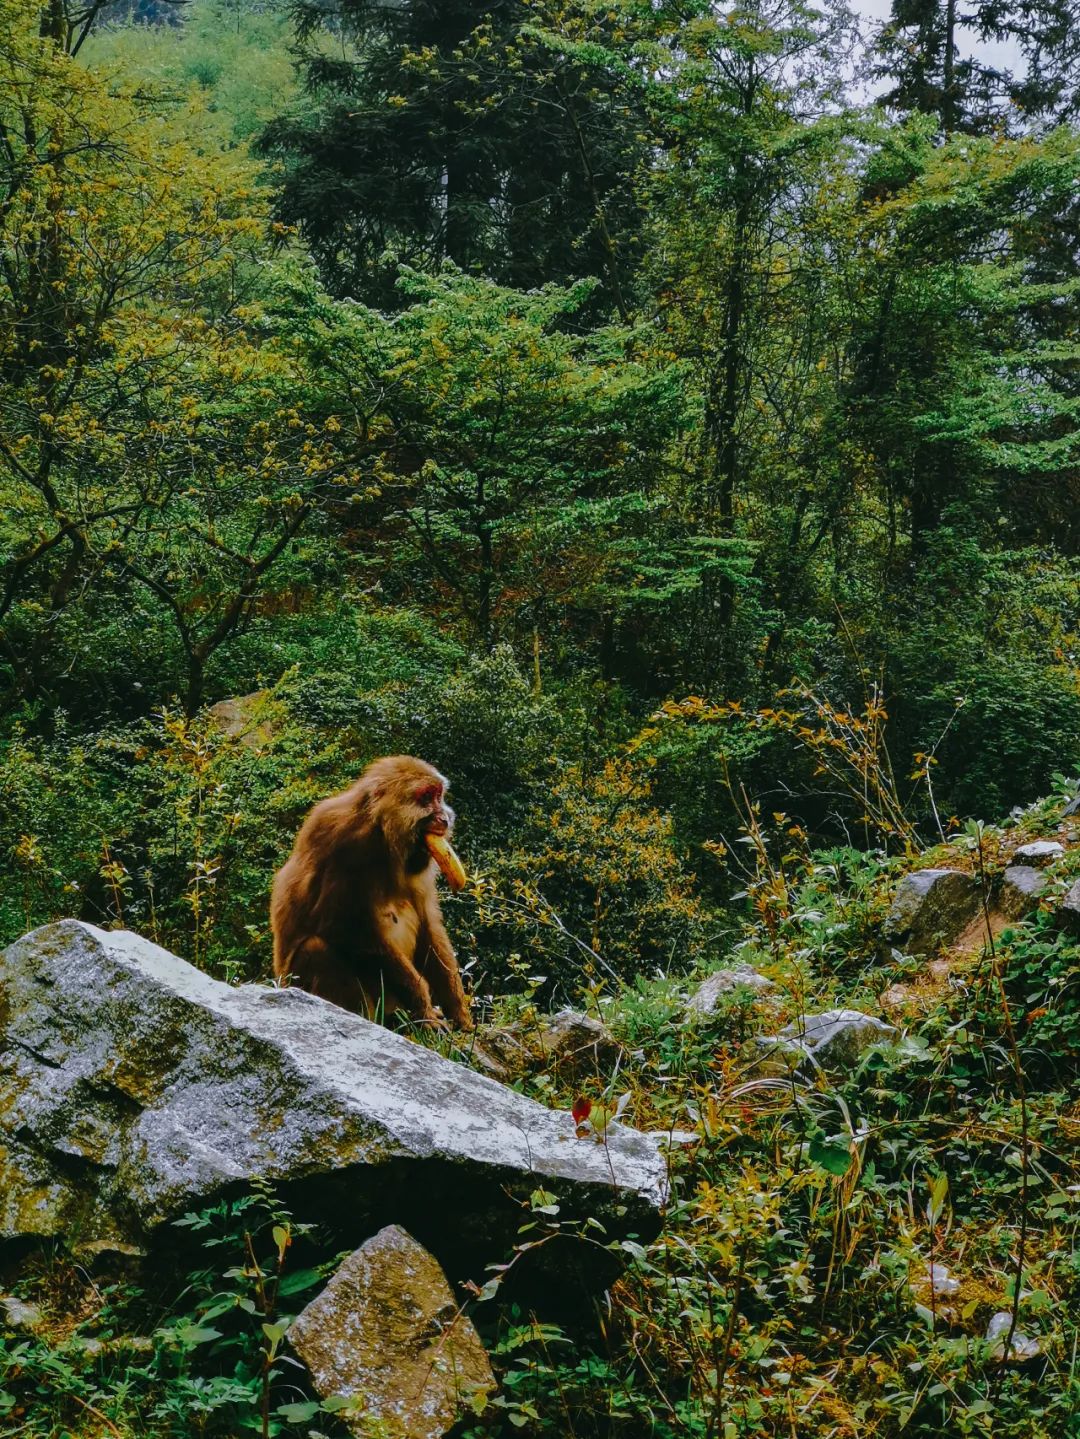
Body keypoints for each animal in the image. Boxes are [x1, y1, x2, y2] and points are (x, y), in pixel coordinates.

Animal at [270, 759, 471, 1030]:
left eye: (439, 795)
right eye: (426, 797)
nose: (444, 819)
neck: (381, 831)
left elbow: (428, 925)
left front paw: (459, 1013)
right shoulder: (348, 845)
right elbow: (341, 928)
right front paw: (424, 1007)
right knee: (317, 948)